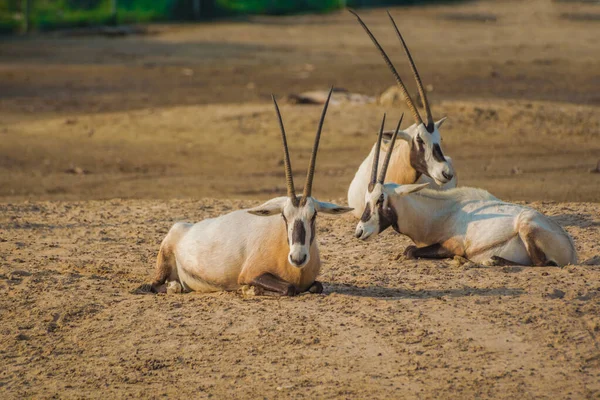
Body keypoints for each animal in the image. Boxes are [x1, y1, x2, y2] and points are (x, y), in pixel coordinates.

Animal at [142, 89, 354, 296]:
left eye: (314, 215)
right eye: (284, 216)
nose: (297, 257)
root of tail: (182, 227)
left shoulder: (312, 281)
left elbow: (317, 286)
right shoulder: (249, 274)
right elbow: (289, 288)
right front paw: (250, 289)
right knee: (155, 285)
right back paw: (173, 286)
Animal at [354, 114, 580, 268]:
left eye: (380, 198)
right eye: (366, 198)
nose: (359, 232)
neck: (436, 213)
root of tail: (571, 249)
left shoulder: (452, 245)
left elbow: (410, 251)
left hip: (526, 225)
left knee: (541, 263)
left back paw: (492, 260)